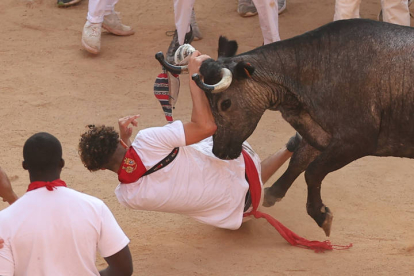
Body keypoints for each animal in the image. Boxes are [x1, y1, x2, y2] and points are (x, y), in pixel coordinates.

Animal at [158, 18, 414, 236]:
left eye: (225, 103)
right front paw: (273, 193)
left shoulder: (355, 140)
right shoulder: (319, 135)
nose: (219, 152)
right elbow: (300, 161)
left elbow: (313, 171)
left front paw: (321, 215)